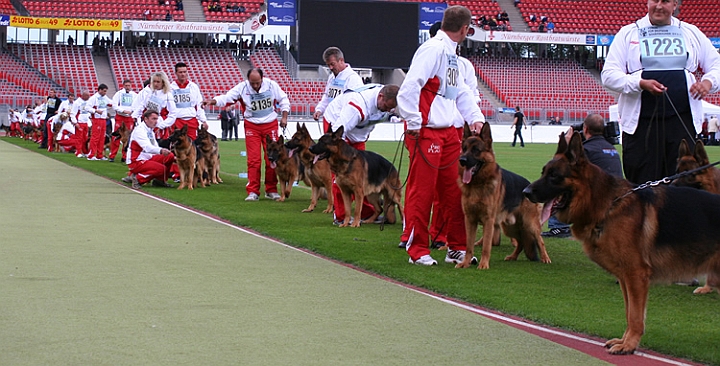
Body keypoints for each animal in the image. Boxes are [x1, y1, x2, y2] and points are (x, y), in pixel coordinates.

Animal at [456, 123, 552, 268]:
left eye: (476, 150)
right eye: (464, 149)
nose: (462, 160)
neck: (477, 185)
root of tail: (527, 188)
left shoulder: (488, 221)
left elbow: (486, 246)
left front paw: (483, 265)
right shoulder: (470, 220)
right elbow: (469, 246)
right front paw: (465, 263)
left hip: (529, 225)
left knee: (539, 240)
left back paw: (545, 258)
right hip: (510, 227)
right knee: (521, 242)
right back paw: (513, 256)